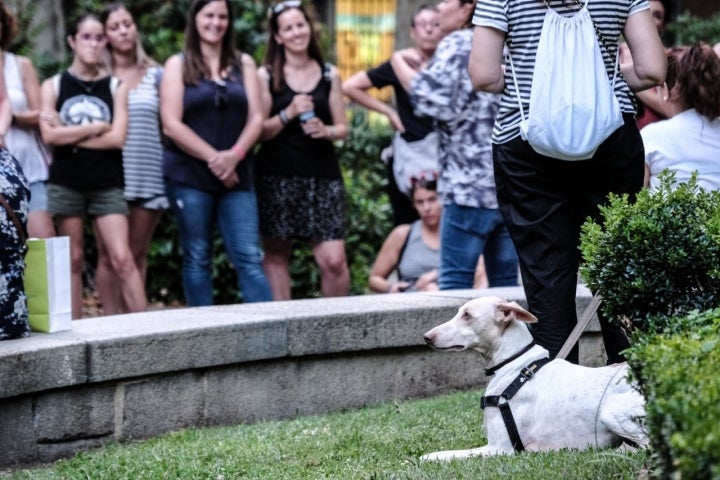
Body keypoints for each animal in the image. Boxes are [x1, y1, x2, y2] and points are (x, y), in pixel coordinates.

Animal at [420, 294, 648, 460]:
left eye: (467, 315)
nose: (427, 337)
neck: (515, 366)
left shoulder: (499, 448)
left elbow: (445, 454)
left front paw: (426, 457)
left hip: (611, 410)